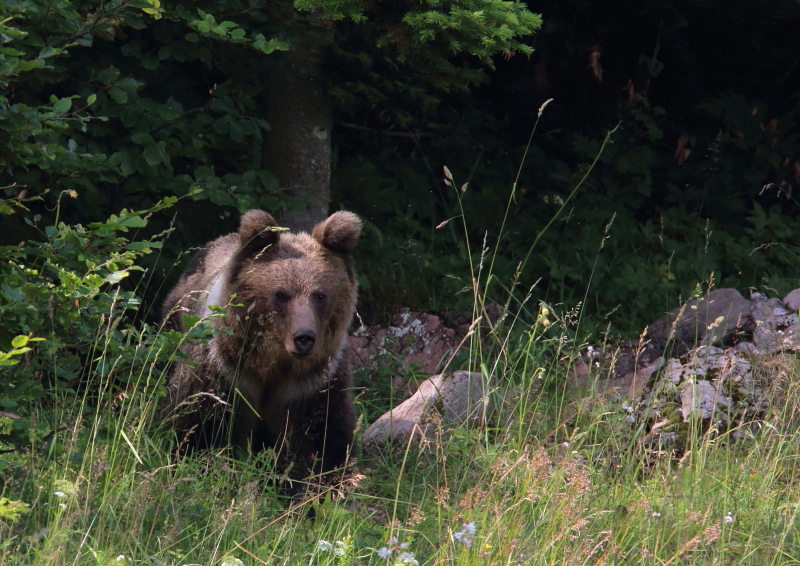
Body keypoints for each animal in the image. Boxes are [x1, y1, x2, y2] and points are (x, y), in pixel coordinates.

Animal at [161, 211, 360, 490]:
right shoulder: (226, 373)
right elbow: (199, 426)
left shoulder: (312, 384)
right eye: (281, 294)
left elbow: (318, 442)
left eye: (320, 295)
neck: (271, 365)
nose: (304, 338)